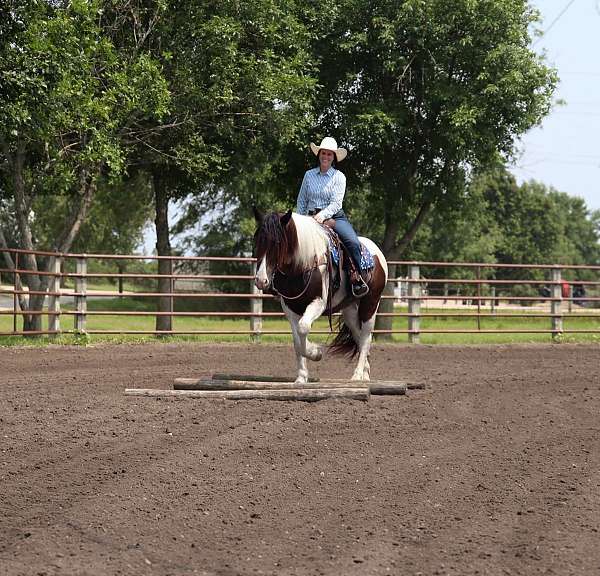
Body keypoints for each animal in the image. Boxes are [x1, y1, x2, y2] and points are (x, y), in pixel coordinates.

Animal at [253, 209, 390, 384]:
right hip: (350, 311)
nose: (261, 280)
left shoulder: (318, 303)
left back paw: (357, 375)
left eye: (277, 243)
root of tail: (376, 252)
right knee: (358, 336)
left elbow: (303, 328)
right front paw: (301, 377)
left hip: (370, 304)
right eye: (257, 241)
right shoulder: (290, 308)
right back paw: (365, 374)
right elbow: (297, 340)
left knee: (366, 337)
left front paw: (316, 352)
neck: (302, 264)